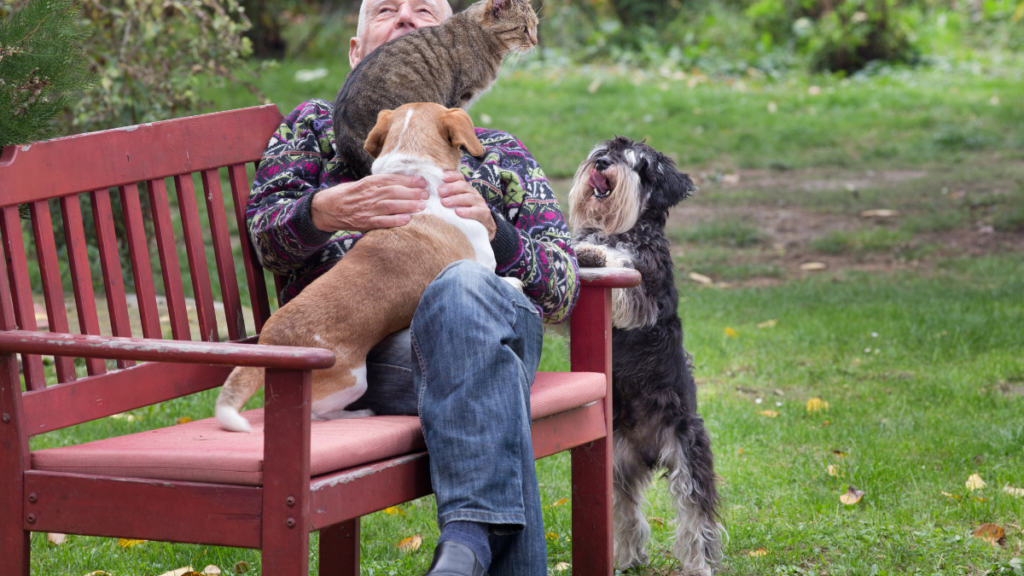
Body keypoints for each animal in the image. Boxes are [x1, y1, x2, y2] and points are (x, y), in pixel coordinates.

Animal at [217, 101, 499, 430]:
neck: (415, 171)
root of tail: (272, 343)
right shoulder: (483, 263)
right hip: (354, 381)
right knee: (318, 414)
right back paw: (360, 413)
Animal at [569, 136, 720, 569]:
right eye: (603, 149)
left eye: (638, 162)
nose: (601, 163)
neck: (618, 229)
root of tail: (650, 448)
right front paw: (583, 248)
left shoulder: (642, 287)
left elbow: (622, 261)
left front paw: (596, 253)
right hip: (616, 467)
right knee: (626, 514)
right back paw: (628, 559)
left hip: (688, 456)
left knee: (696, 520)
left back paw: (699, 566)